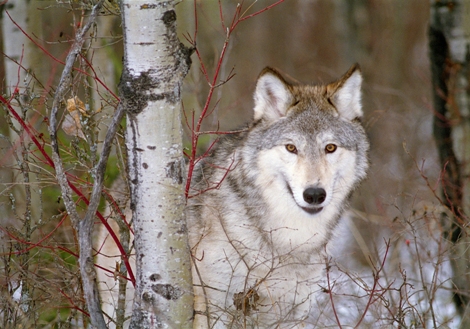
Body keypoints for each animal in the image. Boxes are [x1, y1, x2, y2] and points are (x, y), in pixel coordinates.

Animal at [189, 64, 370, 328]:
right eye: (291, 148)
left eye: (330, 148)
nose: (314, 194)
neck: (290, 242)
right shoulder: (213, 308)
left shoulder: (295, 315)